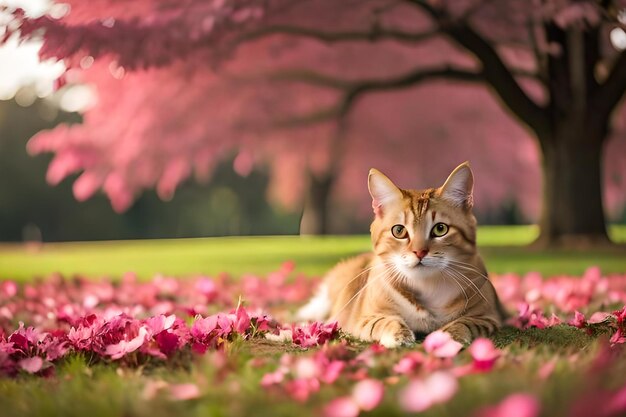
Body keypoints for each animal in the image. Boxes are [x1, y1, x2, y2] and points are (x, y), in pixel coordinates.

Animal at [294, 161, 504, 346]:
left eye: (440, 229)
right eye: (399, 231)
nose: (420, 252)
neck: (426, 287)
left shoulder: (487, 317)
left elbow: (465, 323)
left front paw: (448, 335)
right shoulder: (361, 319)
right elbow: (383, 321)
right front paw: (399, 334)